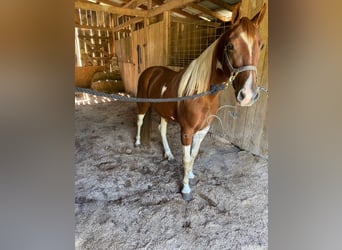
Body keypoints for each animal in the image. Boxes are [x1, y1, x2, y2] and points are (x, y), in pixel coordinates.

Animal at [134, 2, 268, 201]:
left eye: (261, 45)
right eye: (230, 45)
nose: (248, 95)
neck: (202, 94)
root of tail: (150, 71)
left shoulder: (203, 130)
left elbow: (194, 155)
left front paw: (190, 175)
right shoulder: (187, 131)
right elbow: (186, 158)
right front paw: (185, 190)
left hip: (164, 112)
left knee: (162, 129)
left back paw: (168, 154)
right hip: (143, 105)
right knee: (140, 120)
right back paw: (136, 143)